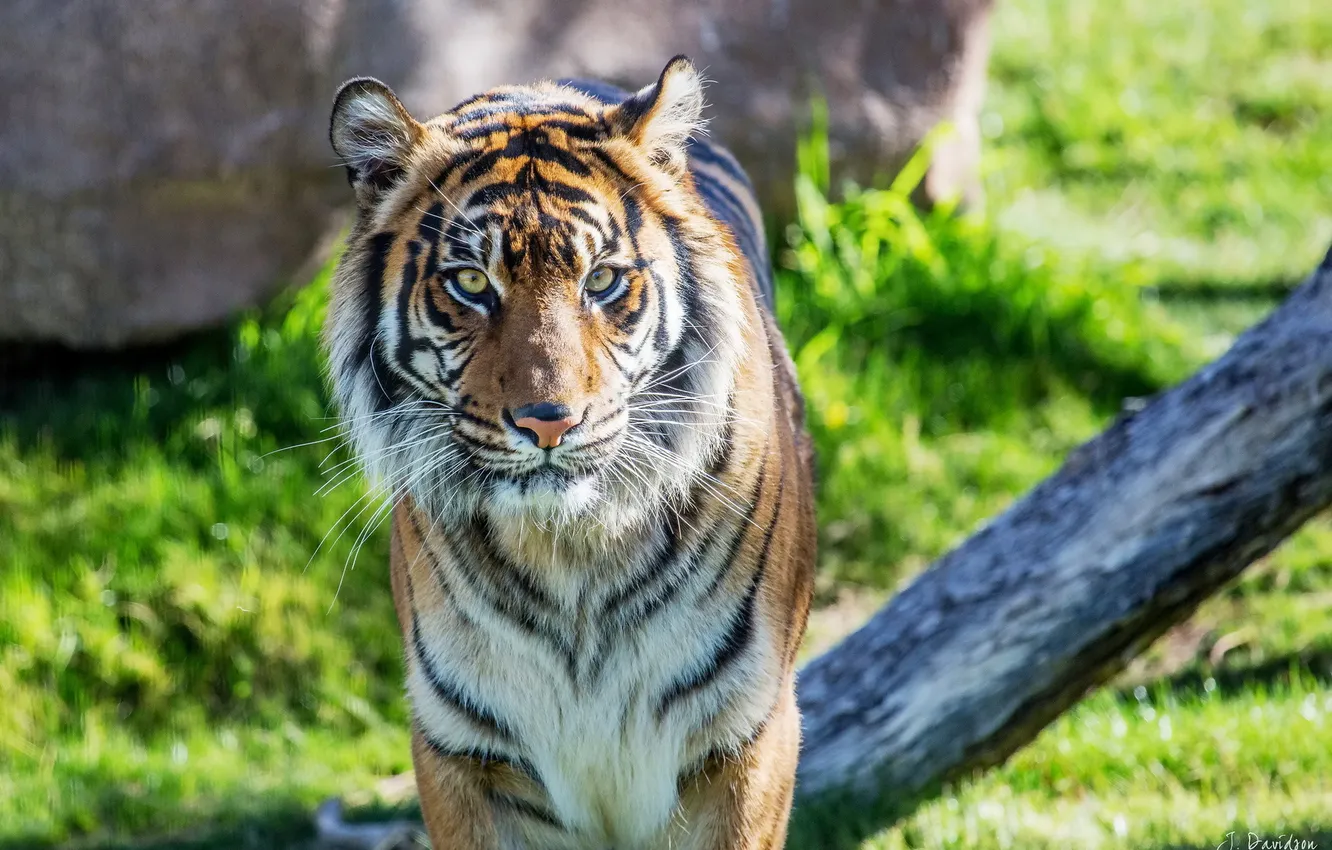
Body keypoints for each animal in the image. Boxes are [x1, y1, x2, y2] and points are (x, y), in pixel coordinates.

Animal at [324, 56, 816, 849]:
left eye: (603, 280)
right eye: (471, 283)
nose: (549, 423)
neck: (572, 556)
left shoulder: (747, 736)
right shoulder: (464, 754)